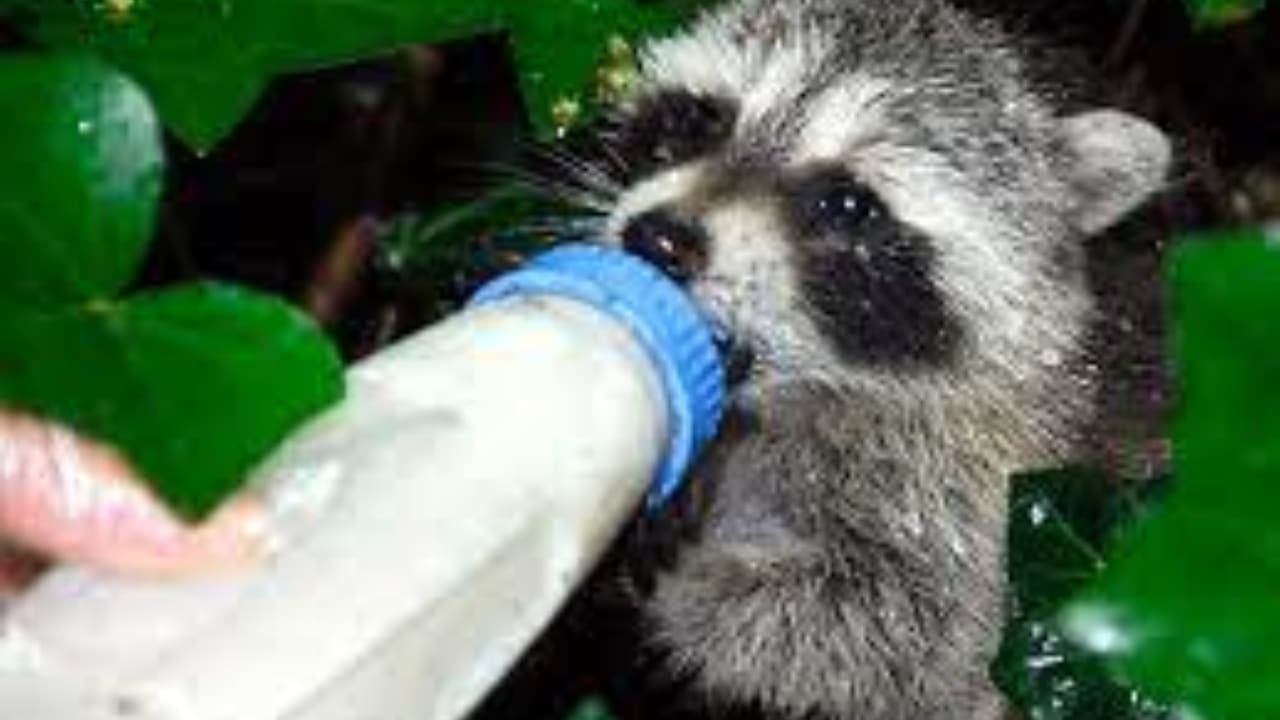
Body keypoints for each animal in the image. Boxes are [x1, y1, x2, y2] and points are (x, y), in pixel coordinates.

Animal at [548, 0, 1170, 718]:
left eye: (848, 203)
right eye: (698, 120)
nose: (657, 239)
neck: (798, 399)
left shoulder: (991, 489)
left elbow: (904, 625)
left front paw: (672, 621)